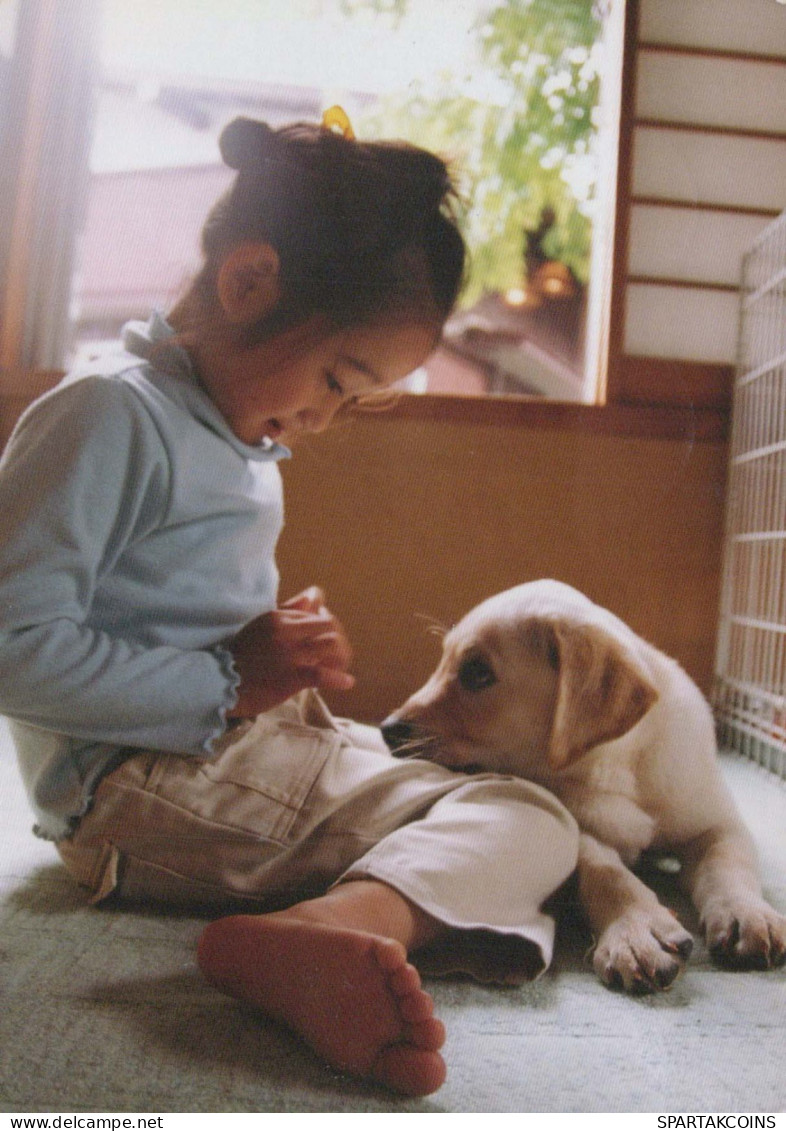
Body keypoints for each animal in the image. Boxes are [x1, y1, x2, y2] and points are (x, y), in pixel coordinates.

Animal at [382, 583, 786, 990]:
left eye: (478, 673)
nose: (386, 729)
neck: (614, 766)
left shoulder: (717, 822)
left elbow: (728, 861)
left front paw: (746, 913)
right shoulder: (577, 827)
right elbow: (604, 872)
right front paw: (636, 930)